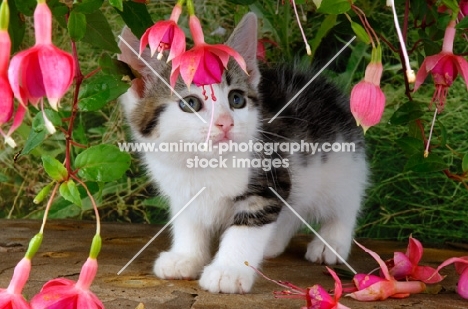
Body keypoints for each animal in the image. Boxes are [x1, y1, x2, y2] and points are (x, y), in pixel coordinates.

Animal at [119, 13, 368, 294]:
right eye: (190, 104)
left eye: (236, 99)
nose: (226, 123)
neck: (204, 165)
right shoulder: (180, 188)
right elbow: (188, 221)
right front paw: (186, 257)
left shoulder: (269, 178)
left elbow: (247, 228)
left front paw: (229, 270)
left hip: (343, 162)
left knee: (346, 202)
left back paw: (331, 242)